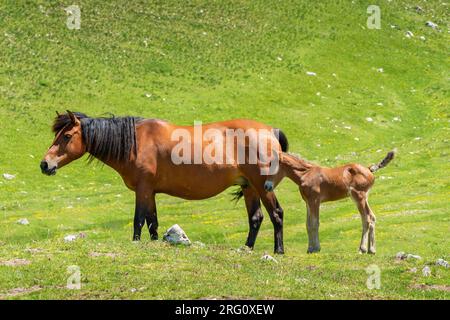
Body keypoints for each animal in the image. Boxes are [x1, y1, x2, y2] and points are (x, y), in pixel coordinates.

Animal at [40, 111, 290, 254]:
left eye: (66, 136)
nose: (45, 164)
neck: (135, 143)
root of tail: (271, 131)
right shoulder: (150, 192)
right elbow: (153, 223)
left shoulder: (142, 190)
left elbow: (138, 221)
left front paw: (136, 243)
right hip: (249, 187)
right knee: (256, 218)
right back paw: (247, 248)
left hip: (261, 187)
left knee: (276, 214)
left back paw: (278, 251)